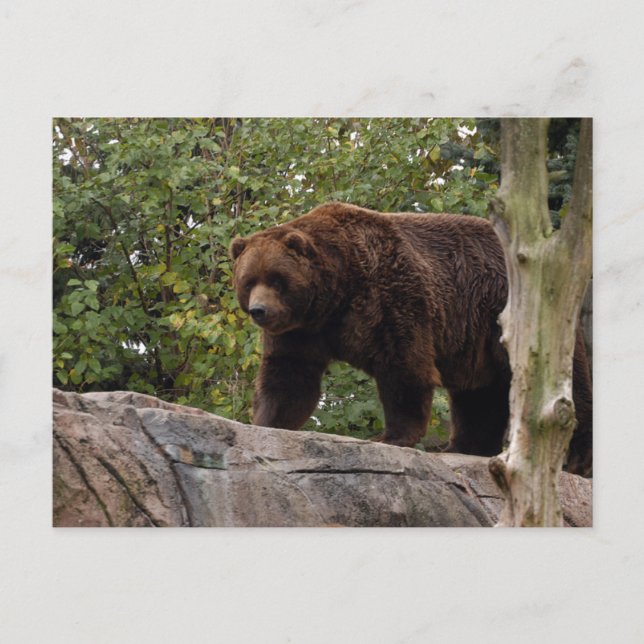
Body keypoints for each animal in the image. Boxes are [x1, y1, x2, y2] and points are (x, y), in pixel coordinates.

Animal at [229, 202, 593, 477]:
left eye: (278, 279)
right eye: (249, 281)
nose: (259, 311)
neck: (337, 293)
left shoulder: (389, 294)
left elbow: (403, 365)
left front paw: (390, 436)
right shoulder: (301, 331)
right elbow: (289, 376)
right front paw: (265, 423)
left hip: (513, 315)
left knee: (563, 384)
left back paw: (575, 460)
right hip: (477, 337)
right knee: (480, 394)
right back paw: (464, 446)